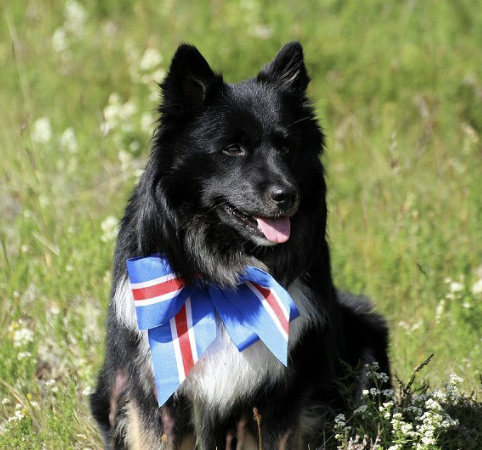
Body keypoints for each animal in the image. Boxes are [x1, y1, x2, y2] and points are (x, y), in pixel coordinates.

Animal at [91, 40, 392, 448]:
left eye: (287, 147)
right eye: (233, 149)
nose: (287, 195)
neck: (222, 274)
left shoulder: (281, 400)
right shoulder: (153, 395)